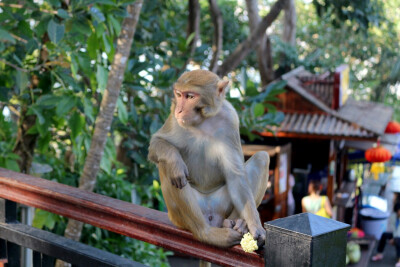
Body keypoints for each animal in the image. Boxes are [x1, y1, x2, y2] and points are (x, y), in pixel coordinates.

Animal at [148, 69, 270, 249]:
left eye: (190, 96)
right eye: (179, 95)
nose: (179, 110)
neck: (203, 120)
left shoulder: (230, 119)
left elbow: (236, 176)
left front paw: (255, 226)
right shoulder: (173, 116)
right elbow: (156, 143)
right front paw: (175, 162)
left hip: (221, 204)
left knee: (262, 158)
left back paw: (237, 223)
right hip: (179, 217)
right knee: (167, 166)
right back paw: (206, 233)